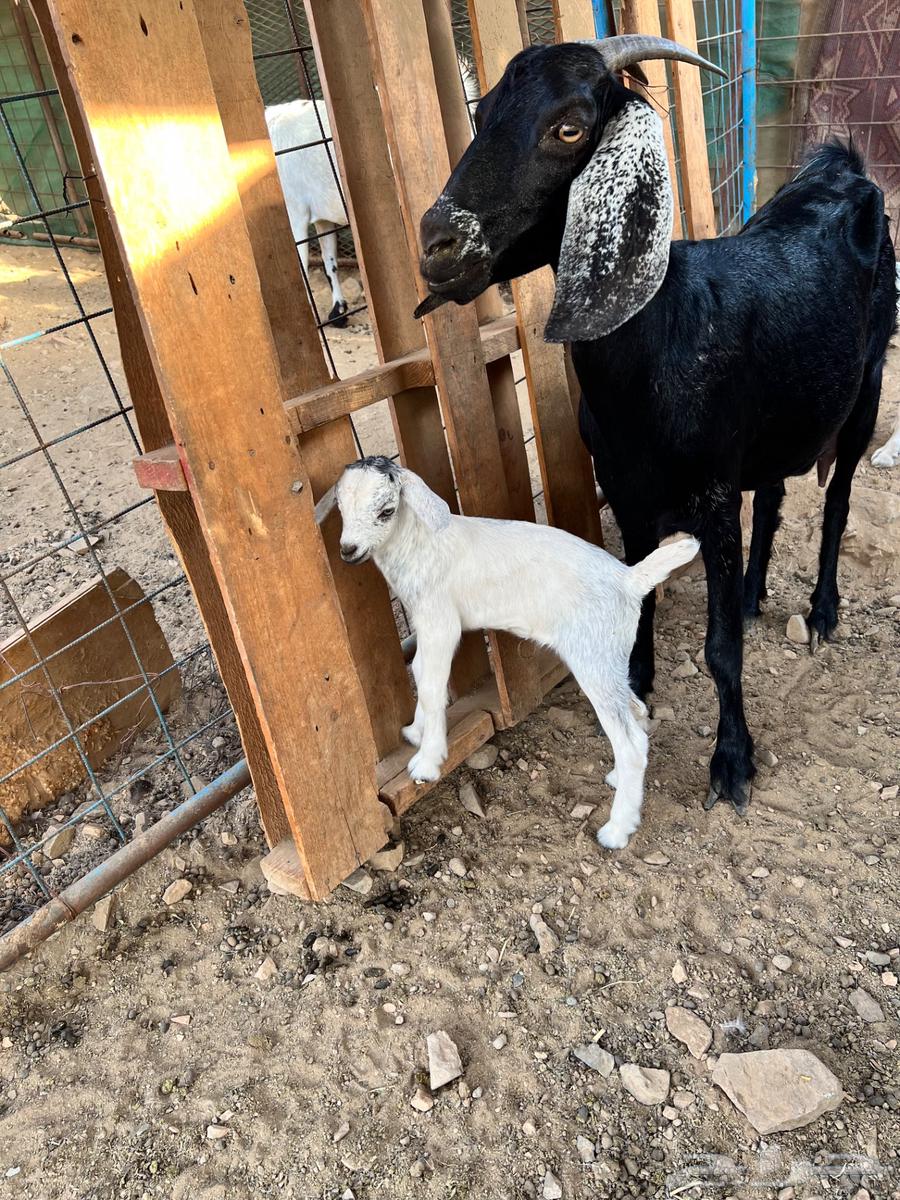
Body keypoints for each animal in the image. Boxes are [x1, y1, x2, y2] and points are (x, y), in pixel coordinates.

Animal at [316, 457, 699, 848]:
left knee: (631, 742)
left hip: (593, 656)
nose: (348, 550)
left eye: (386, 510)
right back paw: (618, 780)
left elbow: (434, 685)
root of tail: (629, 579)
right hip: (609, 660)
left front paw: (427, 762)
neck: (419, 543)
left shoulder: (440, 622)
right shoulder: (423, 620)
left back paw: (617, 829)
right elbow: (421, 671)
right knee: (636, 711)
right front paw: (416, 731)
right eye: (341, 506)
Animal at [414, 35, 898, 819]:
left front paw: (733, 762)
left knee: (837, 499)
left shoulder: (712, 496)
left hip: (867, 386)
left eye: (570, 128)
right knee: (774, 496)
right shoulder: (627, 489)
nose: (436, 243)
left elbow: (720, 650)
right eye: (482, 114)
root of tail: (846, 170)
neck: (666, 336)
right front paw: (636, 687)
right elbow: (635, 603)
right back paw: (754, 591)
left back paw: (822, 611)